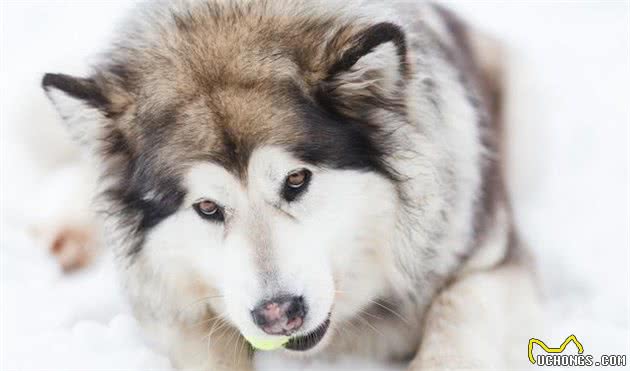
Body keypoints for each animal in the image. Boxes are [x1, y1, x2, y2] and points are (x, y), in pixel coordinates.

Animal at [42, 1, 540, 370]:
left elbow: (456, 317)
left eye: (296, 180)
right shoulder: (171, 304)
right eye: (207, 208)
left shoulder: (491, 261)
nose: (278, 314)